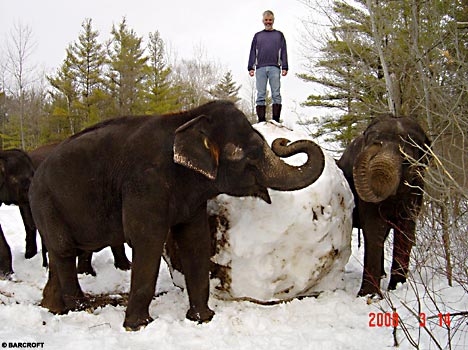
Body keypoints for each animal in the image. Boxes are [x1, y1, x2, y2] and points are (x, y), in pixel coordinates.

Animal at [336, 114, 432, 296]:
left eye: (406, 161)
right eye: (370, 140)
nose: (377, 143)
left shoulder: (417, 189)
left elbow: (406, 229)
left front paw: (397, 287)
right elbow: (374, 227)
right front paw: (369, 295)